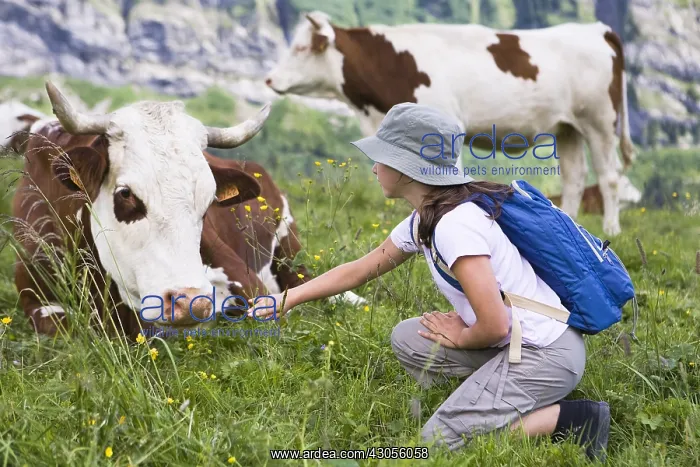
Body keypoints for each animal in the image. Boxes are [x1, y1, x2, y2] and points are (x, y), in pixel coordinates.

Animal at [10, 81, 363, 339]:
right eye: (126, 194)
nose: (190, 301)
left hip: (288, 254)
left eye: (208, 202)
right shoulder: (36, 298)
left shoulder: (251, 285)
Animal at [263, 11, 637, 236]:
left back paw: (612, 229)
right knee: (575, 178)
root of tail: (596, 29)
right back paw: (568, 222)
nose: (268, 79)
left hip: (600, 121)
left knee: (609, 177)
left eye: (300, 48)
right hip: (568, 128)